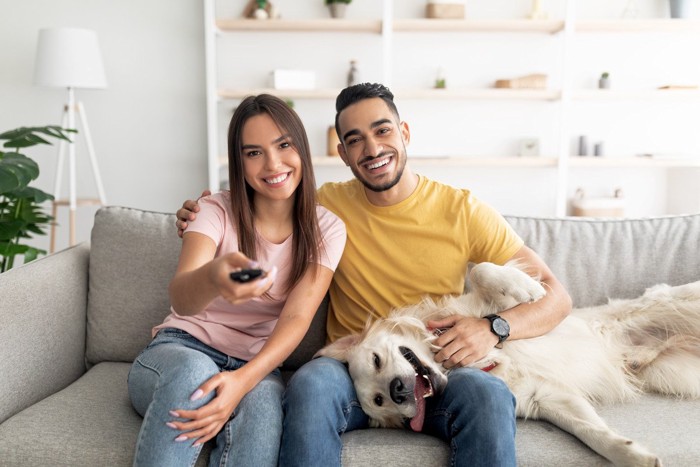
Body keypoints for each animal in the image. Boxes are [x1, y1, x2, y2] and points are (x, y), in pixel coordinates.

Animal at [318, 264, 700, 467]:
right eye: (380, 402)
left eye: (376, 360)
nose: (398, 391)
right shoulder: (545, 398)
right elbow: (591, 433)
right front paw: (632, 454)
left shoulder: (492, 308)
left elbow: (482, 271)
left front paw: (527, 286)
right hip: (676, 374)